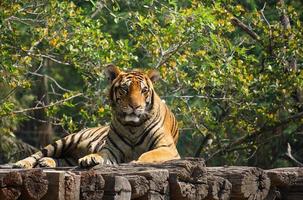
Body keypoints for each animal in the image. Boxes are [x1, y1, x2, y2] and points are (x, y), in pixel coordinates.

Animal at [13, 65, 180, 168]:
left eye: (144, 90)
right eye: (124, 89)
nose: (135, 107)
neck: (133, 126)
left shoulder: (167, 148)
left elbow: (147, 155)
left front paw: (135, 162)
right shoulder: (111, 150)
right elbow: (101, 153)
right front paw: (90, 158)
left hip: (69, 155)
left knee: (62, 160)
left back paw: (46, 162)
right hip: (65, 141)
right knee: (39, 154)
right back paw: (23, 163)